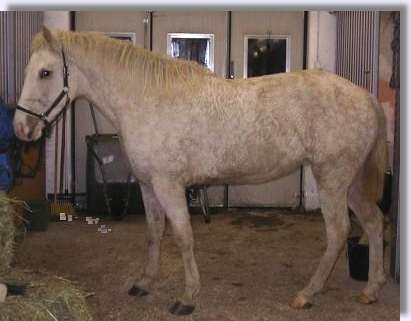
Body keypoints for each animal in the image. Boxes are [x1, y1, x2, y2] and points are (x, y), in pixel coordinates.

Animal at [12, 28, 386, 314]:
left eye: (45, 73)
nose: (21, 129)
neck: (146, 99)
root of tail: (365, 97)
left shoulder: (169, 186)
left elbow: (183, 237)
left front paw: (187, 298)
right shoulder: (148, 186)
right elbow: (154, 233)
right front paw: (144, 282)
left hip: (332, 180)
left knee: (338, 232)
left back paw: (307, 294)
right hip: (349, 183)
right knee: (373, 221)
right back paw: (371, 289)